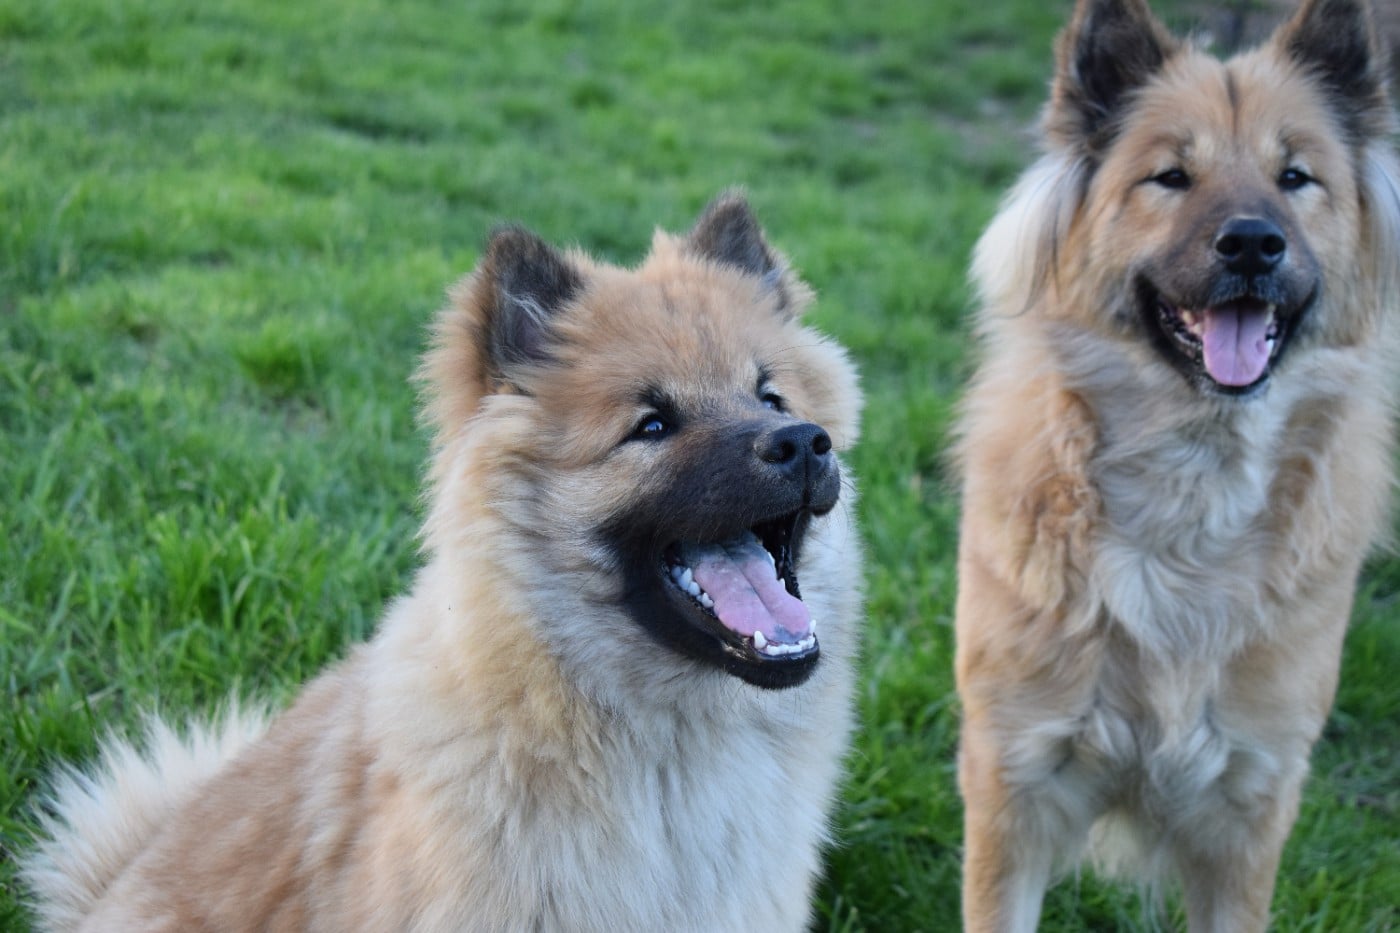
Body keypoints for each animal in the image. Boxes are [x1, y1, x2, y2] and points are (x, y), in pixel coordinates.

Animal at [953, 0, 1400, 929]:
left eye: (1296, 176)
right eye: (1170, 177)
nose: (1254, 244)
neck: (1193, 485)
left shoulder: (1248, 807)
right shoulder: (1014, 783)